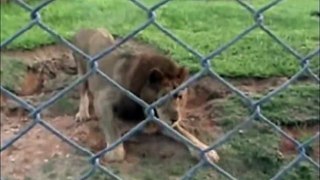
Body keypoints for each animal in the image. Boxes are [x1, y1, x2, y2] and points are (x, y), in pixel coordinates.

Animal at [71, 27, 219, 163]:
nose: (175, 119)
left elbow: (186, 134)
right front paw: (112, 153)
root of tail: (85, 28)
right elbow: (113, 134)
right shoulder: (103, 100)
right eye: (163, 96)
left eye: (180, 97)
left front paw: (206, 151)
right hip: (82, 72)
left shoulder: (160, 119)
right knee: (83, 92)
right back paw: (82, 114)